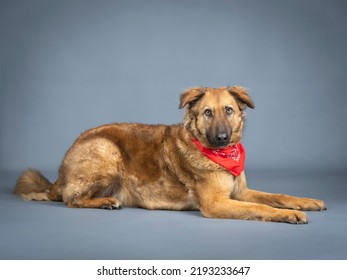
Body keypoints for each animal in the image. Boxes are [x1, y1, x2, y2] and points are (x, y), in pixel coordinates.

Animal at [14, 86, 326, 224]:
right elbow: (261, 207)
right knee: (72, 200)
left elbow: (277, 196)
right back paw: (105, 202)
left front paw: (305, 202)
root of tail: (59, 175)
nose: (222, 138)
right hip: (107, 150)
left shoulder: (240, 192)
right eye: (207, 113)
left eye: (229, 110)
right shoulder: (217, 203)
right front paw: (288, 215)